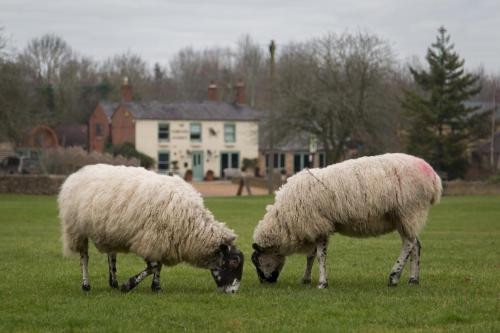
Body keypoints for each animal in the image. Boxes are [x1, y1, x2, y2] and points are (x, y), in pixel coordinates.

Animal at [58, 165, 244, 292]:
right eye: (234, 261)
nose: (233, 292)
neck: (192, 223)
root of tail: (77, 173)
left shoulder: (161, 239)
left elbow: (158, 265)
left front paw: (156, 287)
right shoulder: (152, 237)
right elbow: (154, 265)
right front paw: (128, 285)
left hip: (109, 230)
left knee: (112, 256)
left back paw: (113, 281)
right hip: (76, 228)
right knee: (84, 258)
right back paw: (86, 284)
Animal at [252, 153, 440, 288]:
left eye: (258, 261)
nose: (264, 282)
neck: (283, 219)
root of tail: (434, 177)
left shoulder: (318, 224)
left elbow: (320, 256)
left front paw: (322, 283)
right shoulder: (313, 226)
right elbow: (311, 256)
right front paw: (306, 279)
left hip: (409, 210)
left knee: (408, 244)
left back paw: (394, 277)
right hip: (406, 217)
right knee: (415, 245)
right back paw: (413, 279)